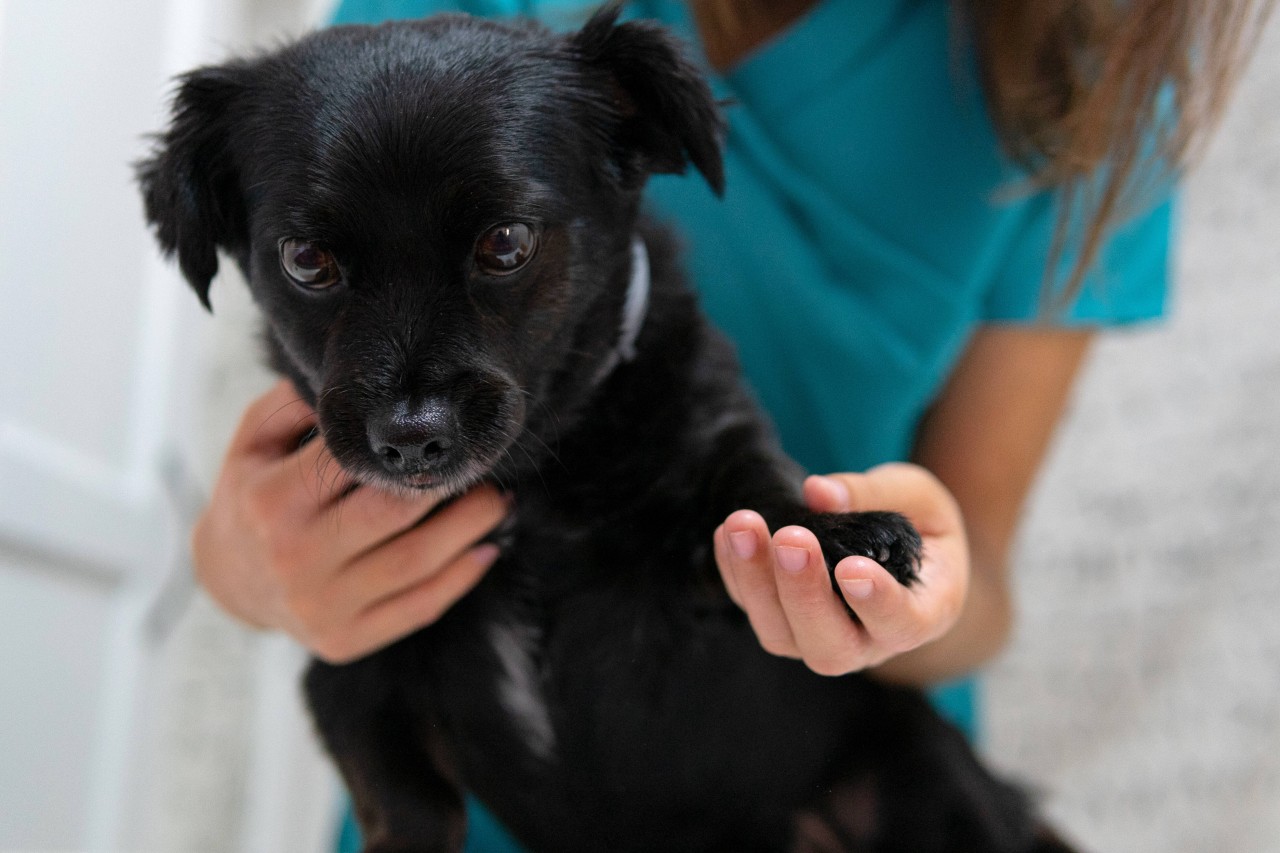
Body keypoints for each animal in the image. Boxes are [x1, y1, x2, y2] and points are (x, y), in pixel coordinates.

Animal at [140, 6, 1075, 850]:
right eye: (305, 260)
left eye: (507, 242)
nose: (409, 435)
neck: (534, 488)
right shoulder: (349, 661)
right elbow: (407, 805)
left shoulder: (712, 463)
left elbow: (755, 496)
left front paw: (838, 533)